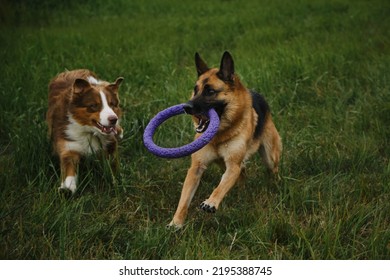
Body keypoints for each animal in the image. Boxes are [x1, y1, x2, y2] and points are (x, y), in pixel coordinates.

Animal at [169, 52, 282, 228]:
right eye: (195, 90)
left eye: (210, 91)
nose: (186, 107)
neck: (220, 135)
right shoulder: (196, 168)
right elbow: (184, 199)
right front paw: (176, 222)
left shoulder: (233, 165)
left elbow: (220, 188)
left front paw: (211, 202)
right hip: (224, 164)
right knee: (242, 173)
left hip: (270, 157)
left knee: (272, 170)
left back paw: (276, 186)